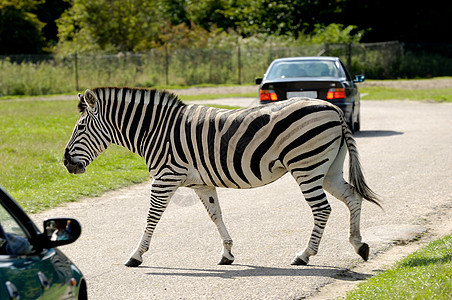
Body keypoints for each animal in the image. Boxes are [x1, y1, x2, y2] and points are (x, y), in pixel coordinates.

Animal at [63, 86, 380, 268]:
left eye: (80, 127)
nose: (66, 163)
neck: (155, 131)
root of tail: (334, 108)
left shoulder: (165, 178)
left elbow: (152, 217)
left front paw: (136, 255)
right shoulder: (201, 183)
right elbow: (215, 215)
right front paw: (227, 254)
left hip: (306, 166)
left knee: (322, 209)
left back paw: (304, 255)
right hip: (328, 169)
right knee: (352, 197)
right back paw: (359, 245)